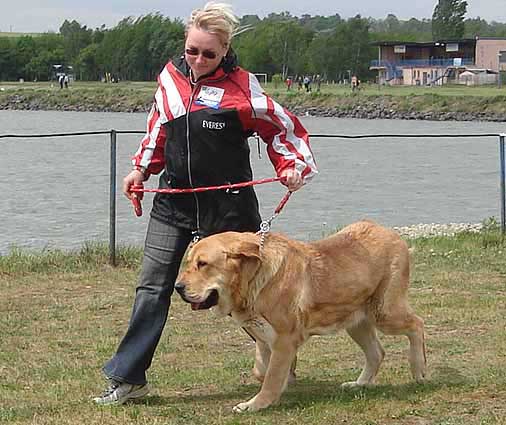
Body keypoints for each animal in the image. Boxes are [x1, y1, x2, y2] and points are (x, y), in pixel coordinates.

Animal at [176, 220, 424, 412]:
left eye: (203, 264)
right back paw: (359, 384)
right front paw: (281, 385)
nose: (178, 287)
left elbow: (271, 377)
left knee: (417, 325)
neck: (255, 278)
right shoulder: (264, 338)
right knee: (376, 353)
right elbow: (262, 371)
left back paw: (418, 369)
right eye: (189, 263)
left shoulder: (284, 340)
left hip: (385, 313)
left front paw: (256, 404)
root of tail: (390, 233)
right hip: (356, 321)